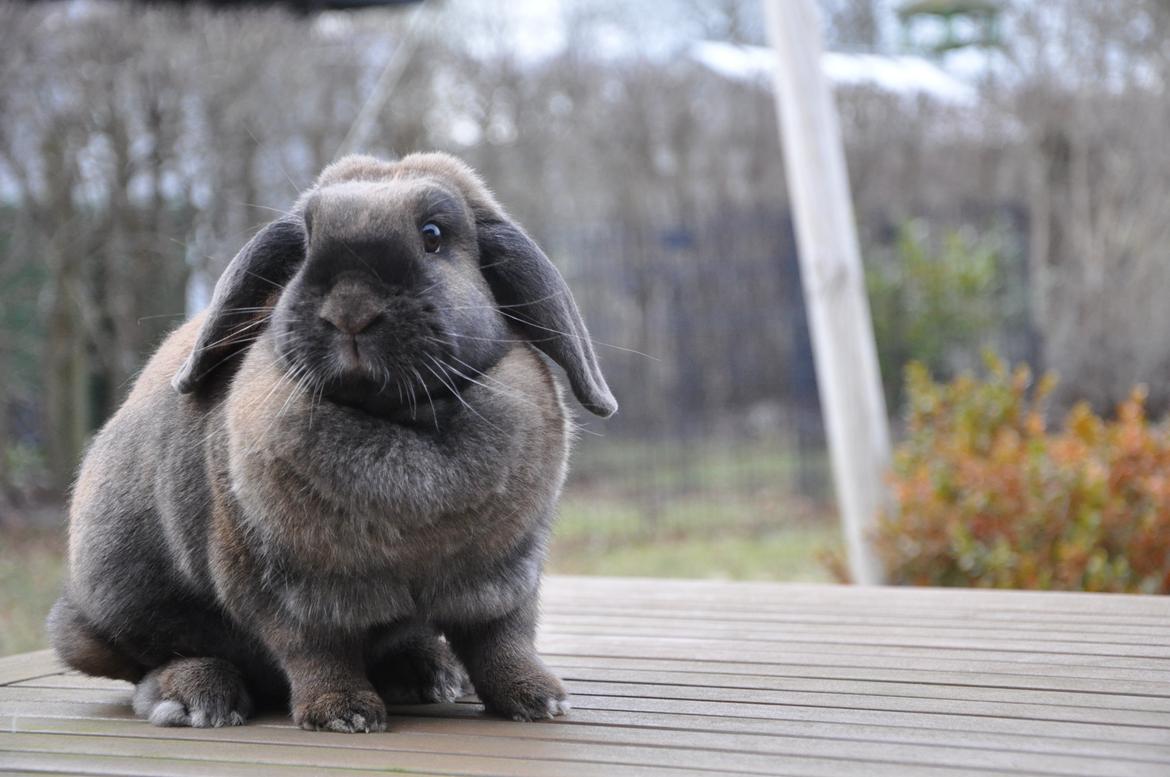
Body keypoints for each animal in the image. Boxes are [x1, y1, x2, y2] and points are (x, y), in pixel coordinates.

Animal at [45, 153, 617, 734]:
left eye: (433, 235)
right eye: (305, 243)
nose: (350, 309)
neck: (397, 419)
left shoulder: (505, 579)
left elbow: (502, 641)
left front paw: (538, 700)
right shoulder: (288, 594)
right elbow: (316, 651)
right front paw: (343, 713)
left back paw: (428, 672)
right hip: (110, 617)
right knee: (154, 662)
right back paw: (196, 698)